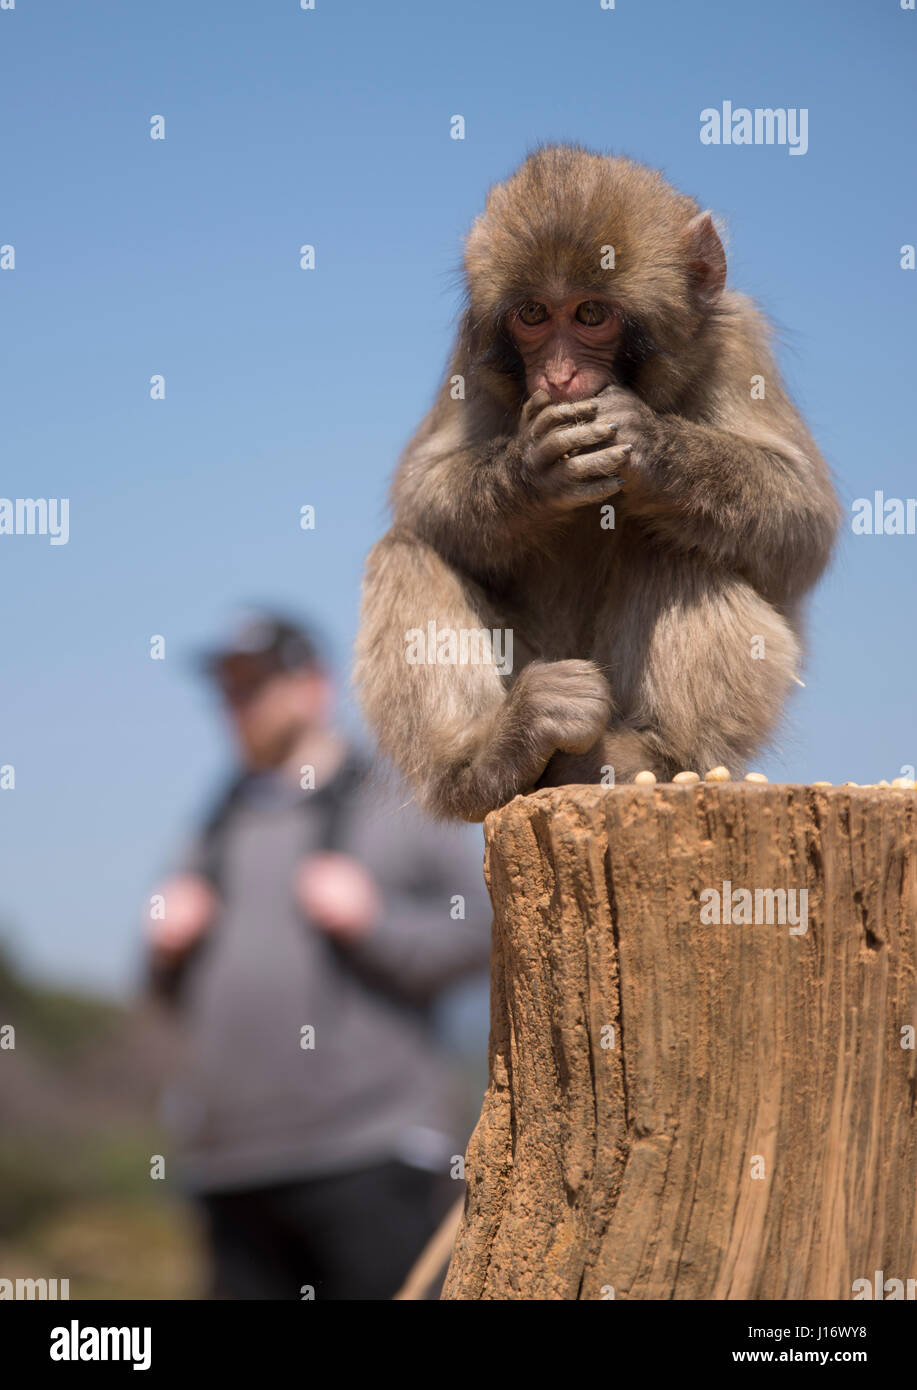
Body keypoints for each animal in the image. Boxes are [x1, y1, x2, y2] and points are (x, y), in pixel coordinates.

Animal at [355, 145, 841, 822]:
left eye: (590, 314)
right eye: (533, 314)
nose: (559, 378)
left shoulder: (738, 341)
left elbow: (804, 523)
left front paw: (649, 448)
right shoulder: (470, 352)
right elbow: (422, 490)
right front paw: (533, 470)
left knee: (675, 543)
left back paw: (651, 755)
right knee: (406, 548)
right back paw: (488, 758)